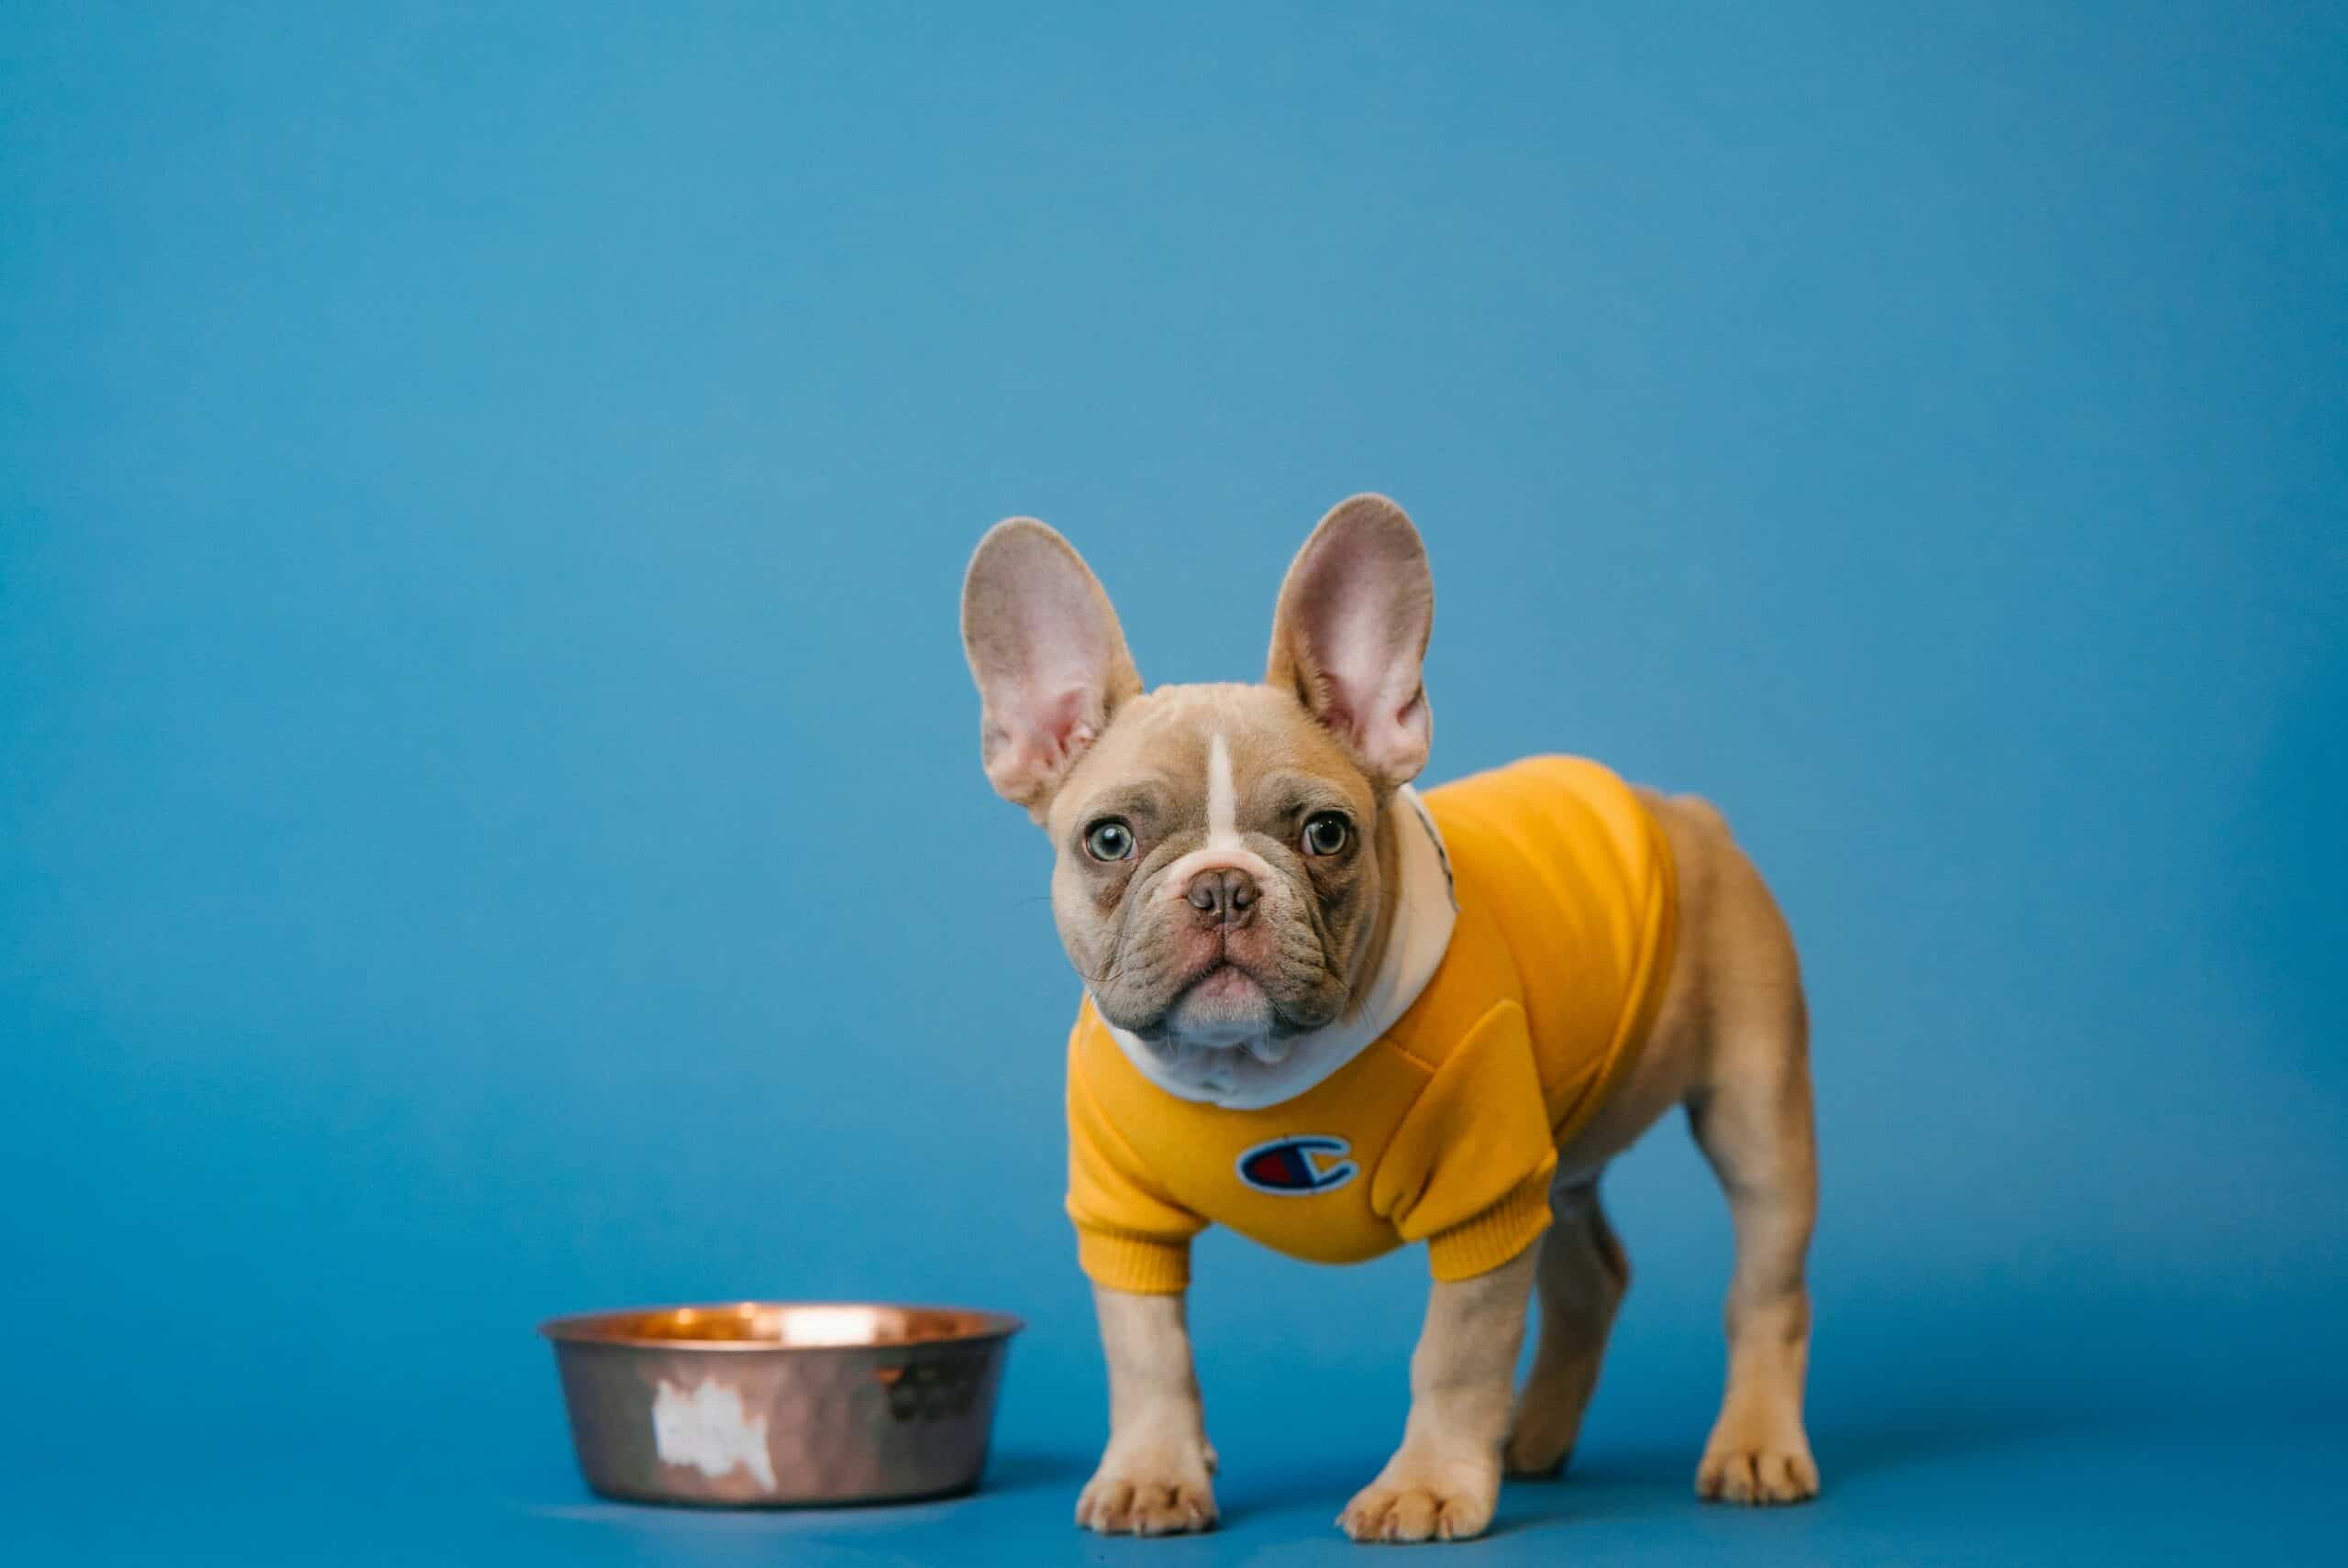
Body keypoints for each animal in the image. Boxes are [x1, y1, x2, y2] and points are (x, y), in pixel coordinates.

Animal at [953, 500, 1812, 1540]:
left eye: (1327, 833)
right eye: (1109, 839)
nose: (1223, 887)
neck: (1249, 1068)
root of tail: (1686, 812)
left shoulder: (1484, 1193)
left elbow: (1456, 1352)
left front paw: (1429, 1484)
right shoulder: (1125, 1217)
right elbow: (1147, 1351)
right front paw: (1154, 1472)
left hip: (1752, 1113)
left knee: (1764, 1288)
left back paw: (1754, 1446)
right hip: (1560, 1154)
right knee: (1590, 1277)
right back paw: (1534, 1437)